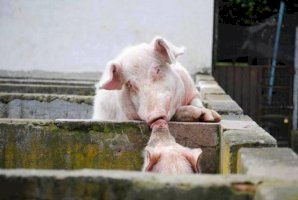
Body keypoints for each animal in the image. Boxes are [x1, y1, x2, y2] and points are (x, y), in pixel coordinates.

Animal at [93, 36, 221, 126]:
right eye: (130, 84)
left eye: (158, 69)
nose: (154, 116)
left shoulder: (192, 91)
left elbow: (197, 102)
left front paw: (211, 117)